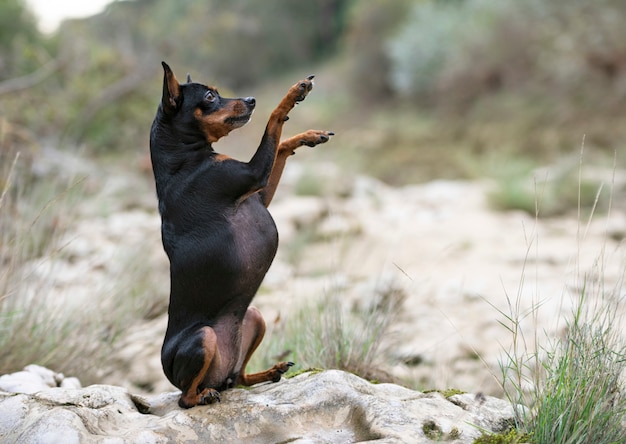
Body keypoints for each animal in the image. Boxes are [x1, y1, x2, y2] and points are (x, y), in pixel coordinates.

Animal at [148, 60, 332, 408]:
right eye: (209, 97)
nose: (250, 100)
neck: (184, 161)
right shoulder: (252, 175)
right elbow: (273, 121)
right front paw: (293, 93)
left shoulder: (258, 195)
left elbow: (281, 144)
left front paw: (308, 136)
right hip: (204, 338)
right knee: (185, 398)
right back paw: (204, 395)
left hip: (255, 317)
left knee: (241, 379)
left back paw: (269, 372)